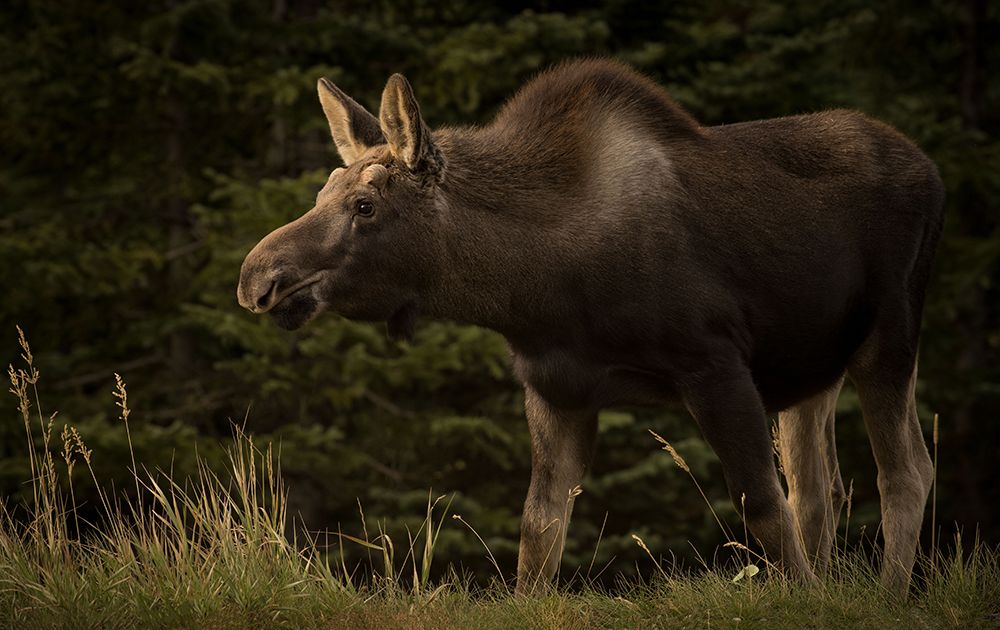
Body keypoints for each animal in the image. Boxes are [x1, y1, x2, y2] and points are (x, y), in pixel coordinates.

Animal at [240, 59, 944, 596]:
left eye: (364, 205)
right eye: (323, 193)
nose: (256, 278)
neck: (540, 287)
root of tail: (933, 171)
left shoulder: (714, 363)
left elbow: (762, 506)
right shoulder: (557, 390)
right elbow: (539, 534)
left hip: (890, 332)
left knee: (905, 470)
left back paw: (887, 595)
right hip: (810, 367)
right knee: (820, 487)